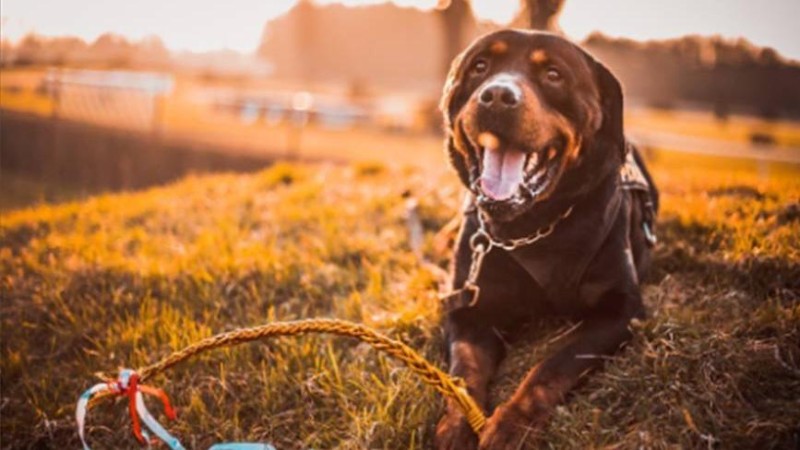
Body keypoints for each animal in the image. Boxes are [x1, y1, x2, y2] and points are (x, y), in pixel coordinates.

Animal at [438, 29, 656, 448]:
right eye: (479, 66)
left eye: (553, 74)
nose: (497, 95)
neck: (531, 229)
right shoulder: (469, 307)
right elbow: (464, 373)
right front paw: (456, 426)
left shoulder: (622, 309)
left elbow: (553, 365)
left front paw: (512, 424)